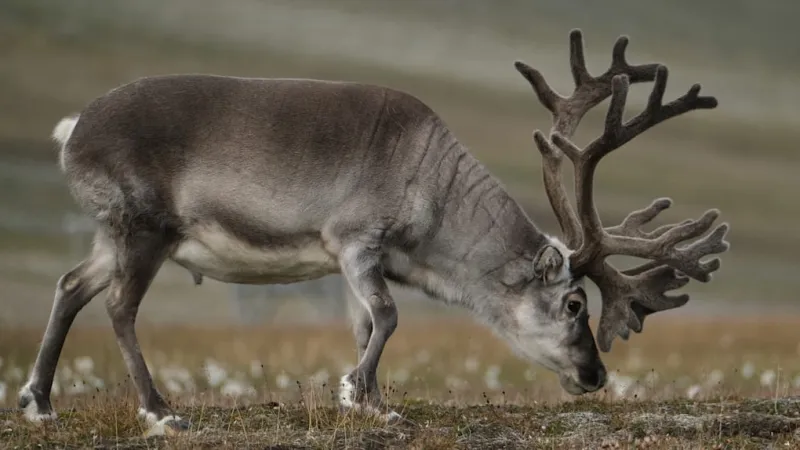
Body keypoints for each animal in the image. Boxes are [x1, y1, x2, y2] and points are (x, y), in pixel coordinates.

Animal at [19, 29, 729, 433]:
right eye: (576, 302)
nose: (596, 375)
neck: (437, 201)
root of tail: (72, 129)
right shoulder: (355, 239)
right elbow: (388, 317)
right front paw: (357, 393)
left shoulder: (359, 262)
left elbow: (365, 324)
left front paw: (371, 399)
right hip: (144, 228)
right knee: (118, 306)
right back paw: (160, 410)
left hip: (111, 235)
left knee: (69, 285)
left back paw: (39, 401)